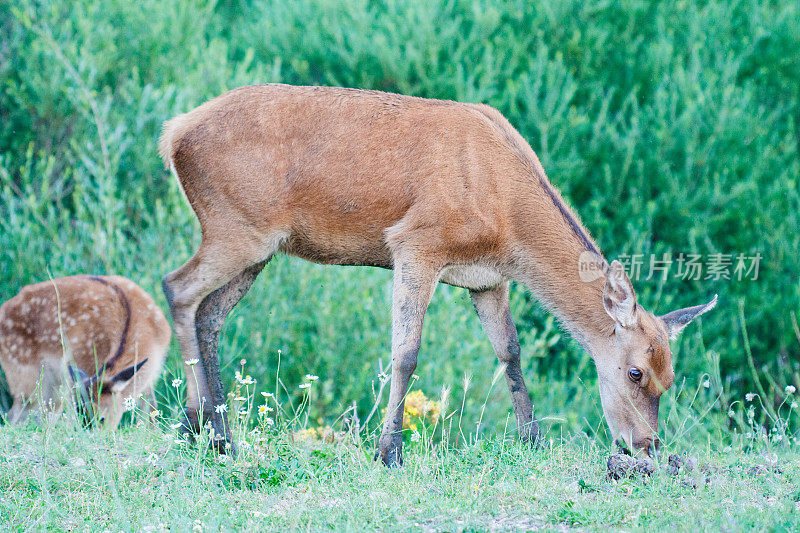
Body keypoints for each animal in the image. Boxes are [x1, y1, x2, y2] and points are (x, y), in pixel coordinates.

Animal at [0, 276, 170, 426]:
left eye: (102, 418)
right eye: (82, 414)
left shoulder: (148, 378)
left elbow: (150, 412)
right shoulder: (77, 362)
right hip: (24, 375)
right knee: (17, 416)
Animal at [159, 84, 716, 466]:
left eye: (672, 377)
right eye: (636, 372)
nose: (645, 446)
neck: (506, 217)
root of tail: (173, 135)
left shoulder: (488, 279)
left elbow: (510, 353)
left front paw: (532, 440)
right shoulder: (415, 244)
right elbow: (405, 353)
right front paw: (389, 452)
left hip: (260, 245)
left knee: (210, 313)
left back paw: (214, 430)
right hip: (236, 226)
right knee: (177, 287)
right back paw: (202, 430)